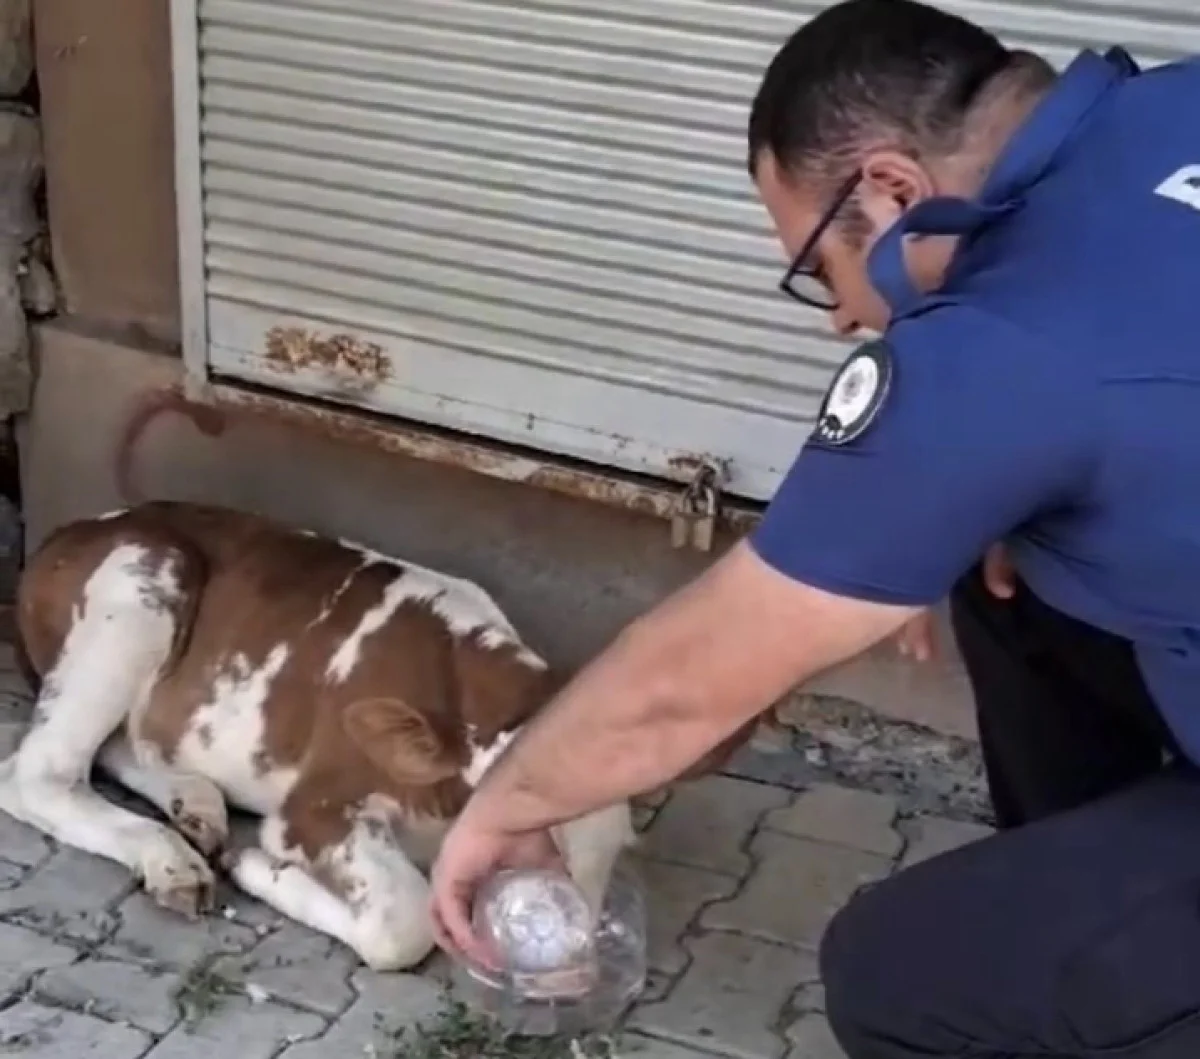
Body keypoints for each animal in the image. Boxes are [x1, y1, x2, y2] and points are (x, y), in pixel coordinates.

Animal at [0, 499, 657, 970]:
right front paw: (259, 870)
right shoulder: (315, 805)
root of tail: (77, 528)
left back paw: (196, 805)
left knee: (122, 744)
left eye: (608, 859)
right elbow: (403, 924)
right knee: (40, 773)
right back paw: (170, 859)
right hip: (135, 593)